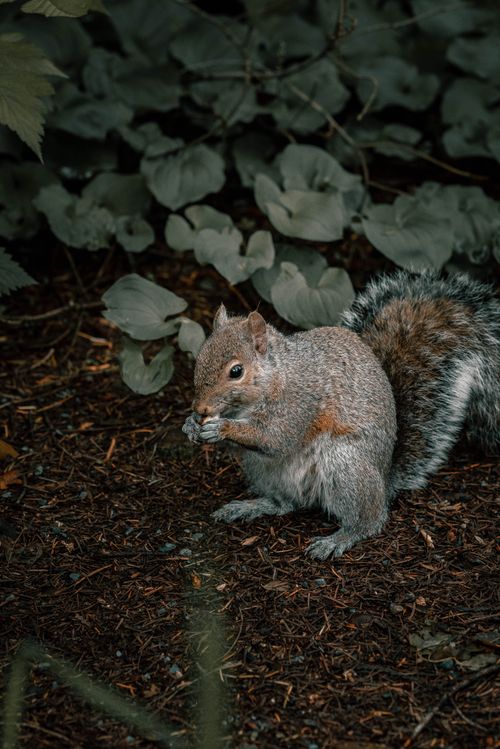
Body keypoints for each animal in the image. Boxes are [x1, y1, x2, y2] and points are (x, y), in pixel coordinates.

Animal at [183, 269, 500, 559]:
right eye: (200, 357)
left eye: (236, 371)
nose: (200, 408)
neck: (276, 376)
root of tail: (384, 480)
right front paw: (191, 426)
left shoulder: (300, 401)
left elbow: (276, 438)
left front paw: (222, 427)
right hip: (262, 470)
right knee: (286, 504)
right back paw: (250, 507)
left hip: (344, 465)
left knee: (370, 520)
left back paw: (339, 539)